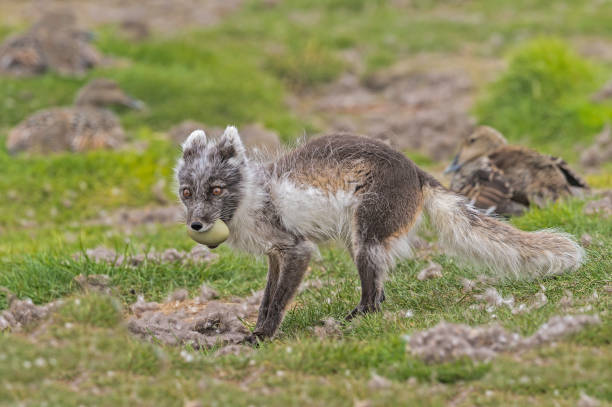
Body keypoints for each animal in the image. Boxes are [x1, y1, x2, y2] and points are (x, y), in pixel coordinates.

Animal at [176, 126, 584, 342]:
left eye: (216, 189)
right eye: (186, 192)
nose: (196, 225)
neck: (252, 195)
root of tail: (417, 172)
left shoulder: (296, 248)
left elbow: (277, 301)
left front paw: (262, 337)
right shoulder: (275, 253)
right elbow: (265, 298)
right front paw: (258, 329)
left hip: (367, 231)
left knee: (373, 293)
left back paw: (356, 318)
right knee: (381, 288)